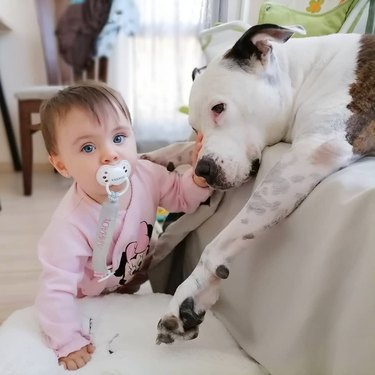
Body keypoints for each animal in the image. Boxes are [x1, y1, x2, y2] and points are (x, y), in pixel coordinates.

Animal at [142, 23, 374, 346]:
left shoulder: (316, 150)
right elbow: (184, 148)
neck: (306, 76)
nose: (203, 171)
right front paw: (156, 157)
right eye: (194, 128)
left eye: (219, 107)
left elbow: (218, 244)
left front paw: (189, 294)